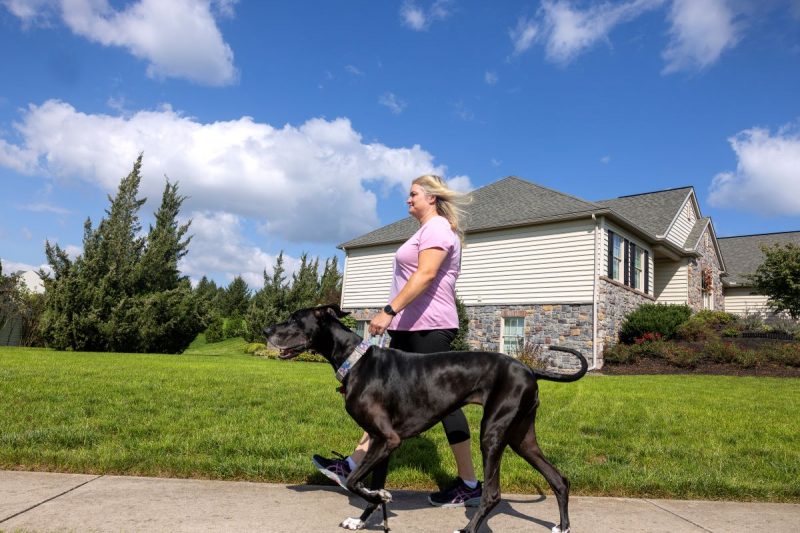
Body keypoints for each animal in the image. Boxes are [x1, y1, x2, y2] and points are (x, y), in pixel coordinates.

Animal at [266, 304, 584, 532]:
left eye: (294, 319)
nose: (267, 329)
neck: (354, 360)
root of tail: (529, 370)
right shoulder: (382, 442)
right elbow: (369, 482)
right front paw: (363, 517)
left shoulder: (389, 439)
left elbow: (354, 481)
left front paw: (379, 498)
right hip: (522, 437)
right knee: (559, 480)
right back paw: (563, 526)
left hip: (493, 433)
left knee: (493, 493)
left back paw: (468, 530)